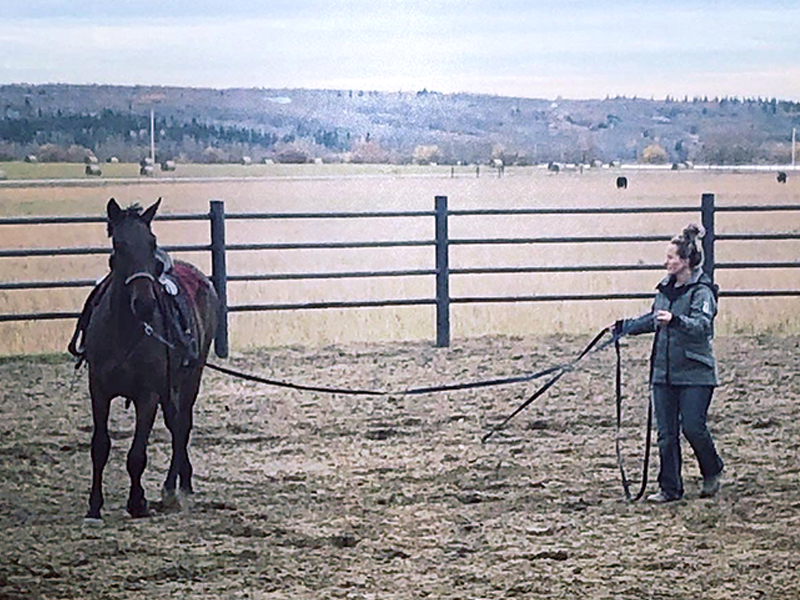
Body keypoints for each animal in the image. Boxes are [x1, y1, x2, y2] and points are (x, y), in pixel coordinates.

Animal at [80, 197, 219, 521]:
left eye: (152, 242)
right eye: (118, 245)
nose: (144, 303)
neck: (124, 330)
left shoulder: (148, 395)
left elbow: (137, 454)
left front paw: (137, 502)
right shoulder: (99, 390)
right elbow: (100, 446)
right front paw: (94, 505)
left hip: (190, 378)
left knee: (181, 427)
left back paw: (175, 489)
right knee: (176, 424)